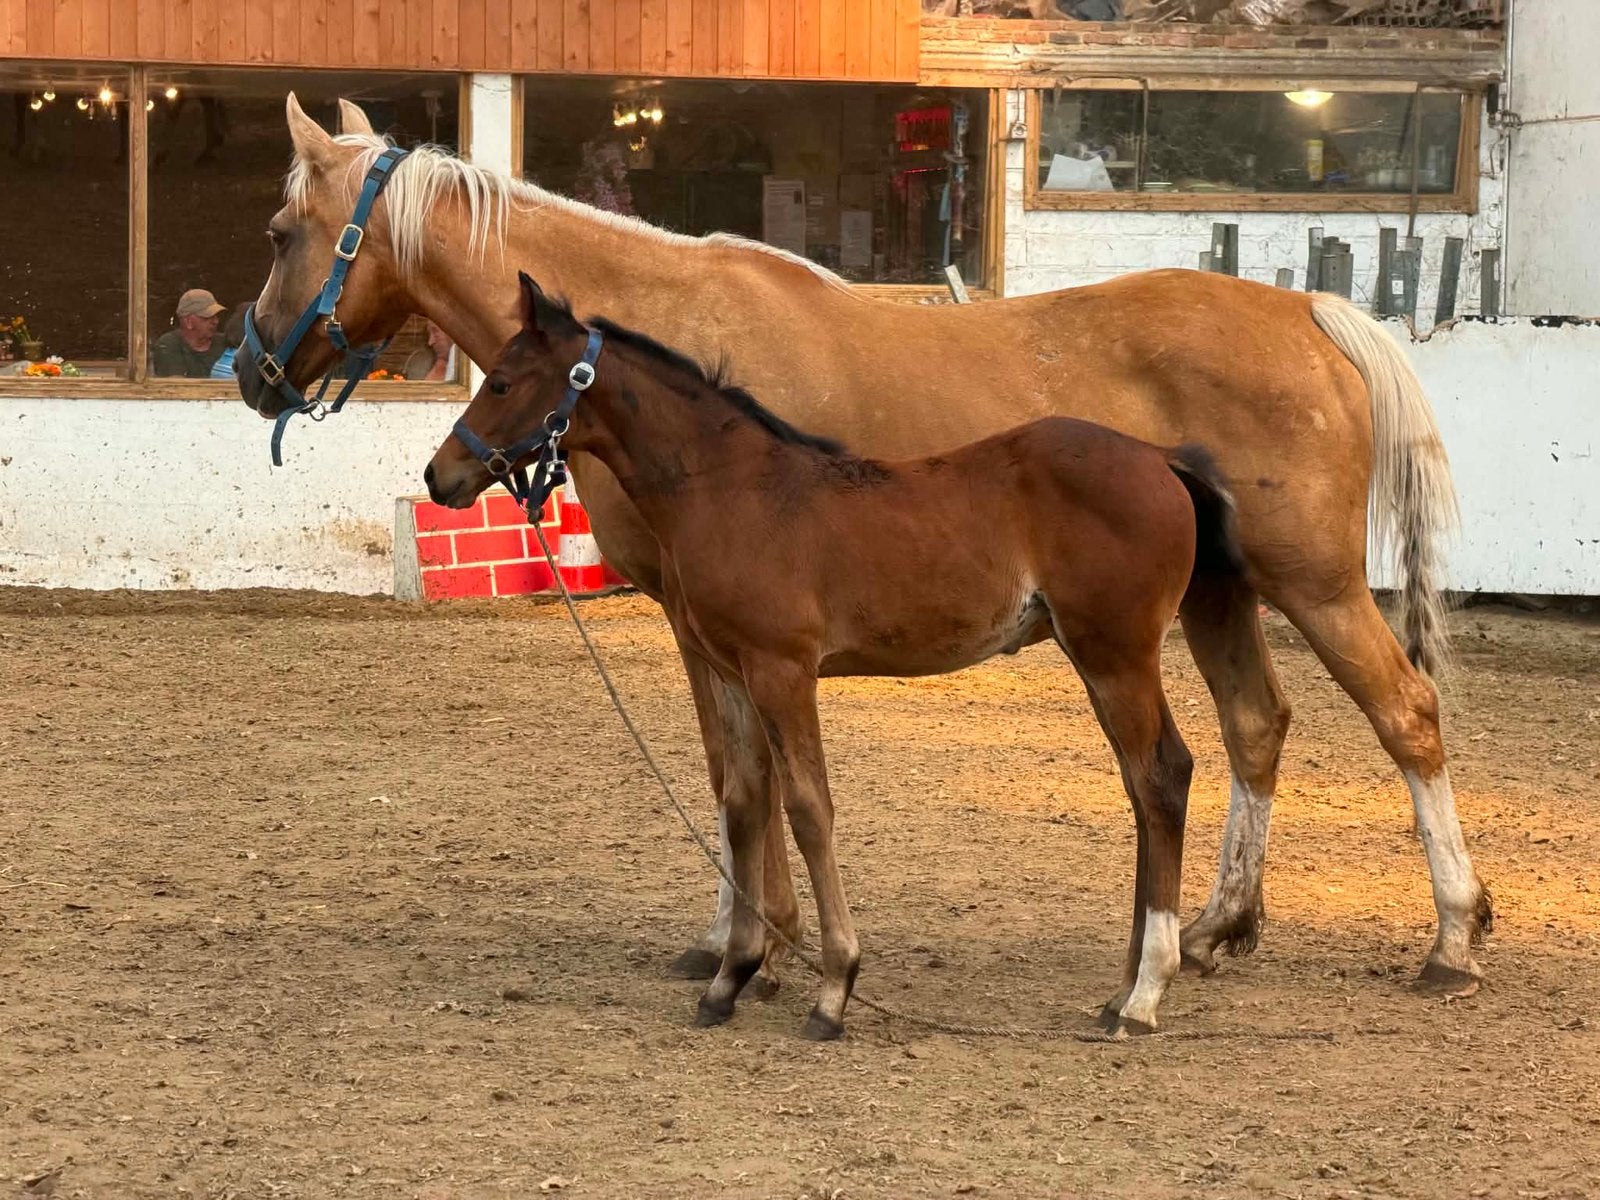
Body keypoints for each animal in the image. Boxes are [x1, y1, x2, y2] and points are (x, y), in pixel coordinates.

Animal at [426, 272, 1245, 1037]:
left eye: (502, 382)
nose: (441, 476)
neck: (732, 491)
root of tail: (1161, 458)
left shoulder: (783, 670)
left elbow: (808, 807)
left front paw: (833, 988)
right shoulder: (734, 672)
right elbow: (744, 801)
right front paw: (731, 976)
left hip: (1117, 654)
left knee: (1162, 777)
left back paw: (1145, 994)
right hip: (1100, 659)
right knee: (1141, 784)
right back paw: (1120, 988)